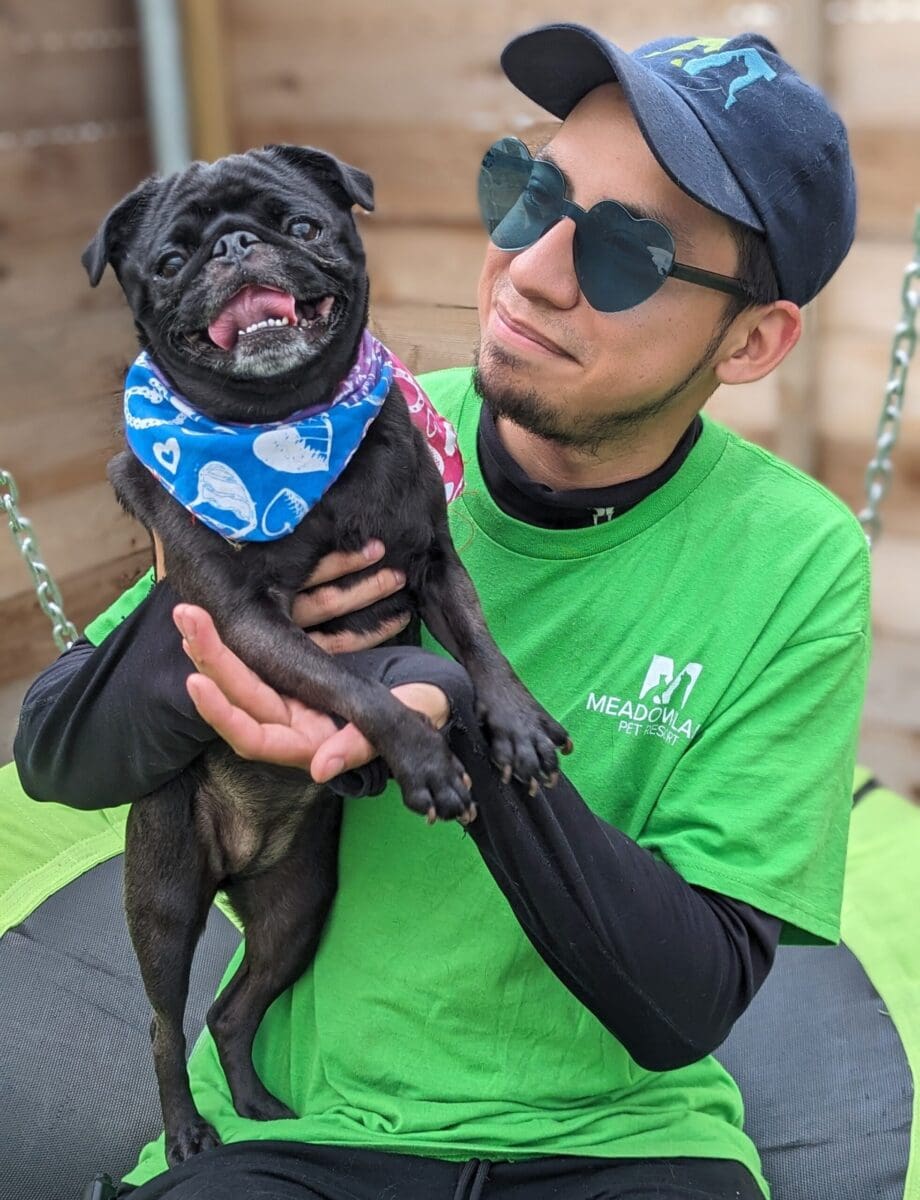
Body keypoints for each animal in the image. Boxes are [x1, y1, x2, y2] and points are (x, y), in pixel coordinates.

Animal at [80, 145, 568, 1166]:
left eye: (300, 227)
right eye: (172, 260)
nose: (235, 246)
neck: (289, 423)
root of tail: (239, 860)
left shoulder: (431, 563)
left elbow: (479, 646)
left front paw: (513, 725)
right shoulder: (244, 620)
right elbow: (353, 683)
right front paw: (423, 757)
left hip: (296, 906)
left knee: (230, 1012)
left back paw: (258, 1104)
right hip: (168, 899)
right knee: (163, 1021)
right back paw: (189, 1130)